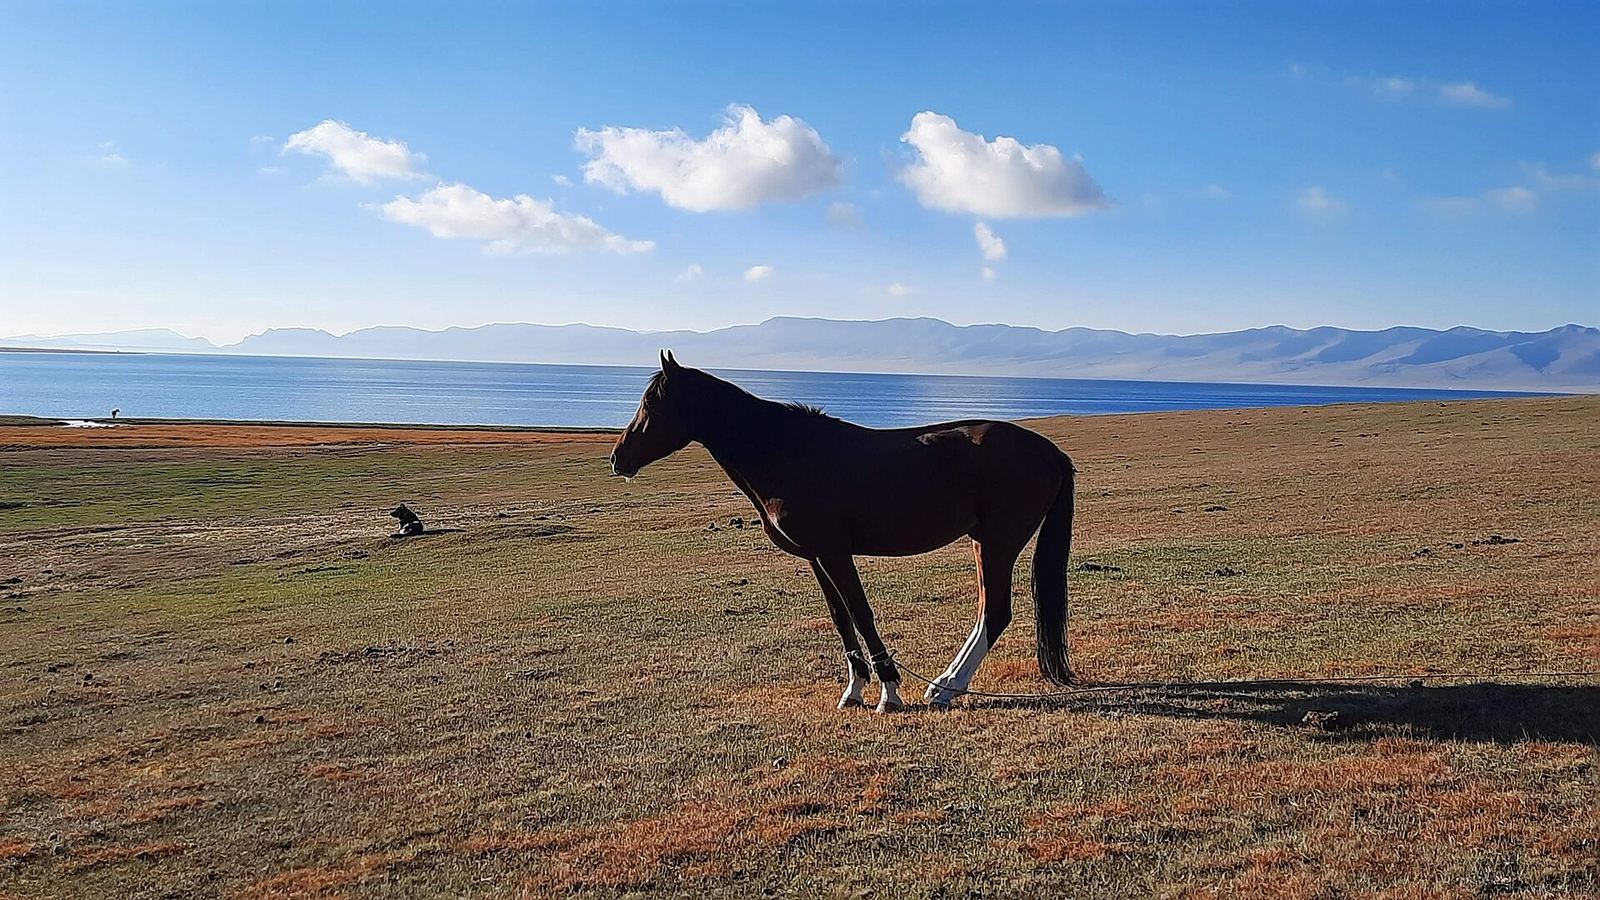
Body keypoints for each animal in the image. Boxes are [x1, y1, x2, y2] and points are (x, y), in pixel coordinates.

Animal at [610, 352, 1076, 712]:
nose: (617, 459)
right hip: (983, 541)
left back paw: (946, 688)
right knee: (985, 614)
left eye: (651, 402)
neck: (790, 453)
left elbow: (861, 613)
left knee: (995, 613)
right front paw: (854, 690)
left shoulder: (836, 551)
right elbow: (840, 617)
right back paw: (943, 684)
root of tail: (1047, 450)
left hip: (999, 542)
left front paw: (889, 693)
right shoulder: (817, 555)